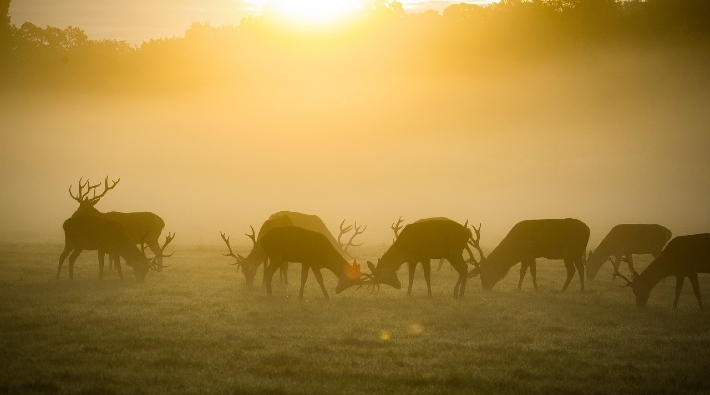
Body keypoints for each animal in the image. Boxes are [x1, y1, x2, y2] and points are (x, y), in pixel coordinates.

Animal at [221, 212, 368, 286]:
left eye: (249, 270)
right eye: (243, 272)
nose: (248, 285)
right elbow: (265, 265)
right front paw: (264, 282)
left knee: (283, 265)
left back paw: (283, 280)